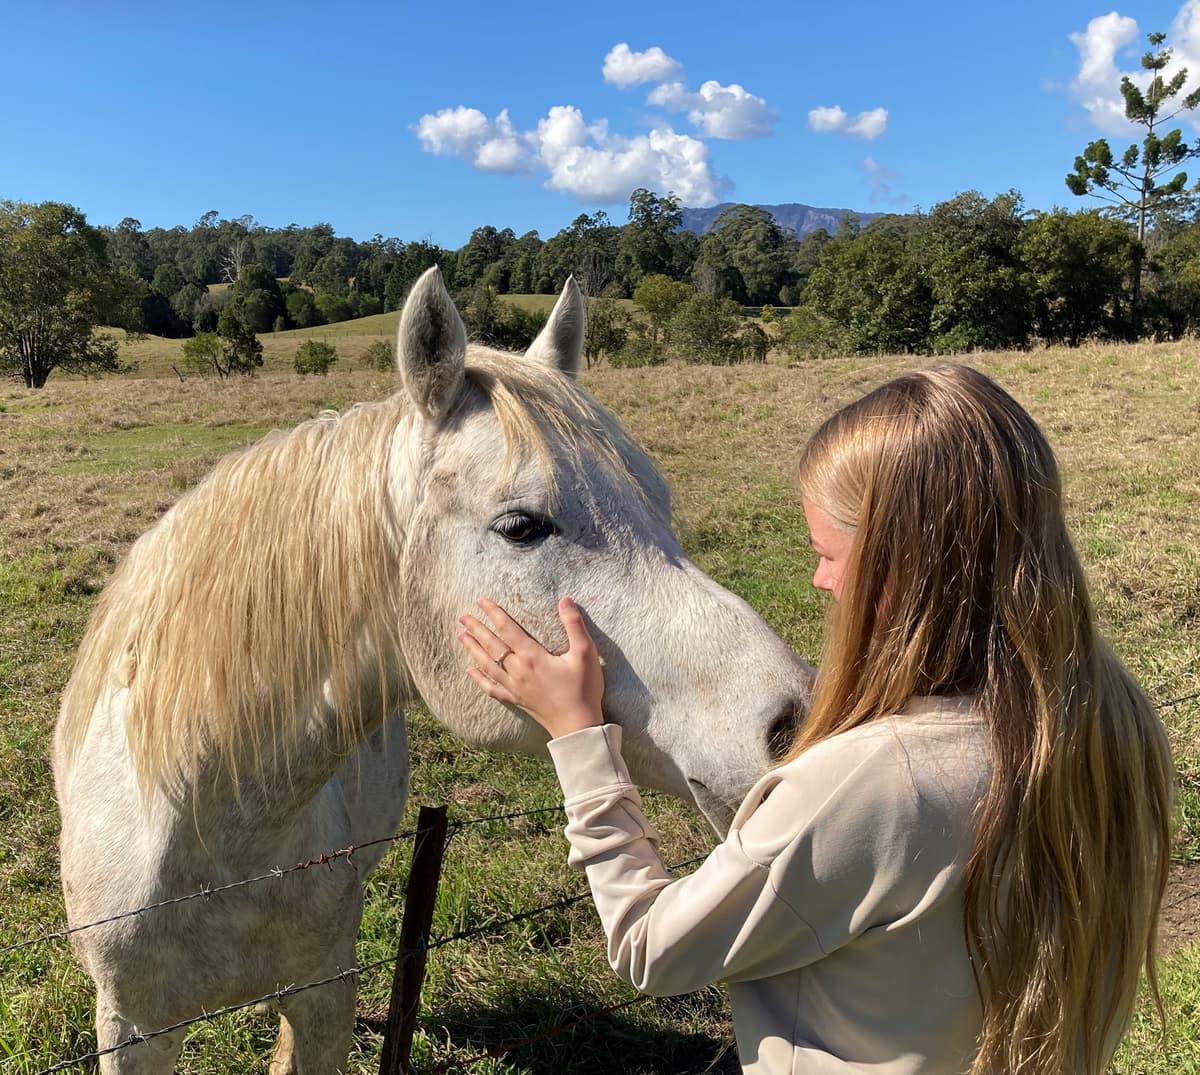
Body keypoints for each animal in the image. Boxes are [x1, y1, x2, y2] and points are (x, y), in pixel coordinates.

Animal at [52, 267, 814, 1073]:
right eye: (520, 526)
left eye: (659, 502)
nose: (791, 723)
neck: (221, 834)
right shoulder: (132, 1027)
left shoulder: (323, 995)